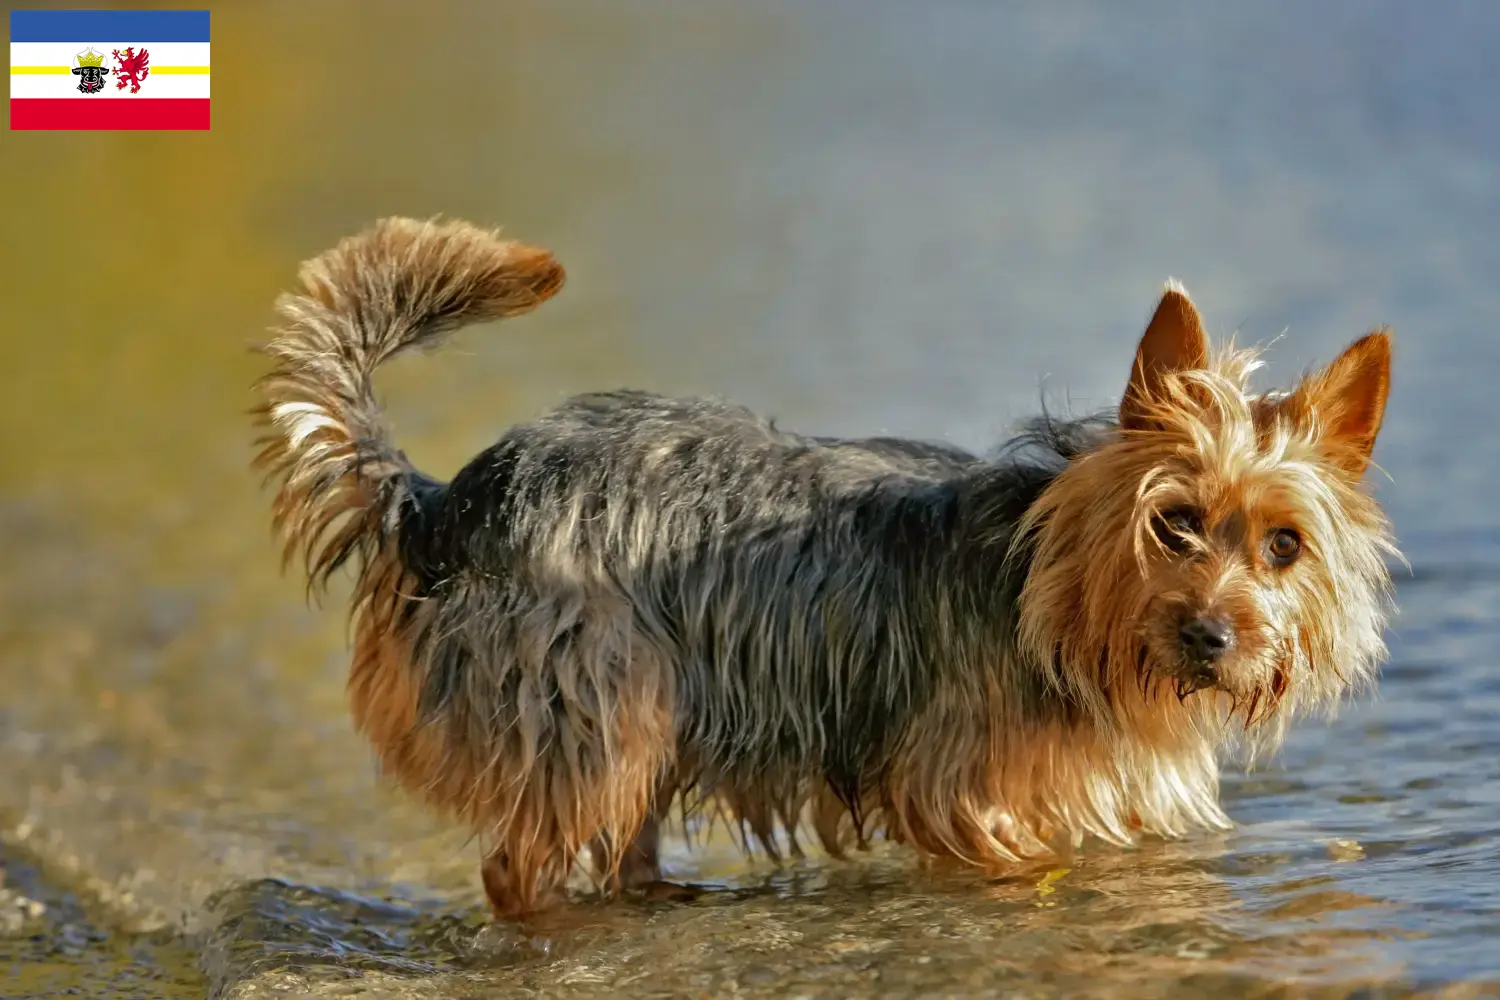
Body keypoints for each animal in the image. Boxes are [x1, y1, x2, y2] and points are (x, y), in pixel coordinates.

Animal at [255, 218, 1392, 923]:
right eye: (1175, 523)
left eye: (1285, 545)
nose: (1213, 636)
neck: (1053, 595)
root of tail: (443, 502)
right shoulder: (965, 800)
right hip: (596, 698)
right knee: (520, 866)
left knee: (615, 846)